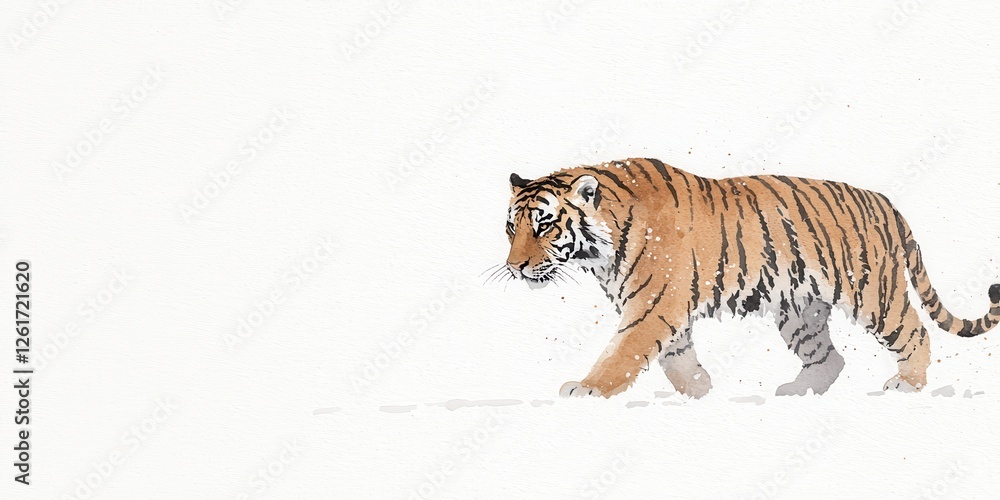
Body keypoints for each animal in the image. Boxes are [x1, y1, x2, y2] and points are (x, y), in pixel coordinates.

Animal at [502, 158, 1000, 398]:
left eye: (544, 226)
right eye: (512, 228)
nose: (515, 266)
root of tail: (887, 203)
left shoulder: (652, 303)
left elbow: (622, 352)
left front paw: (587, 390)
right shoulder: (664, 305)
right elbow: (677, 356)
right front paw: (700, 393)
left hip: (873, 292)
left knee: (914, 332)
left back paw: (907, 385)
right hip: (800, 309)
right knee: (829, 357)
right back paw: (797, 392)